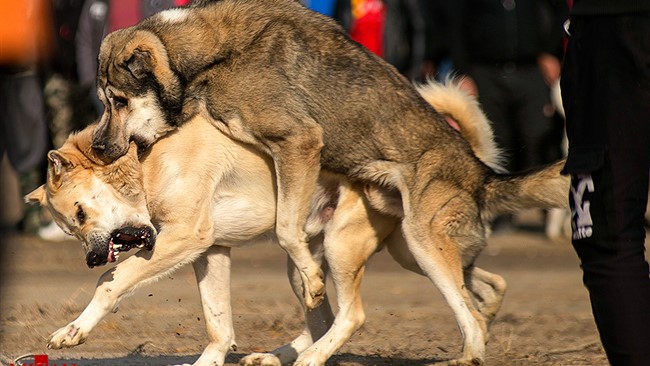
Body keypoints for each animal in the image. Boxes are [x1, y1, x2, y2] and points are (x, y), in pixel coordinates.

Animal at [29, 82, 568, 366]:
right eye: (72, 227)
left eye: (79, 214)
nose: (89, 255)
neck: (146, 157)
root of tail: (470, 162)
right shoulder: (210, 251)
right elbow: (217, 323)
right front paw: (211, 360)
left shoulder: (184, 238)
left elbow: (111, 282)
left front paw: (72, 331)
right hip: (356, 258)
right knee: (482, 284)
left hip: (361, 248)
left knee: (355, 316)